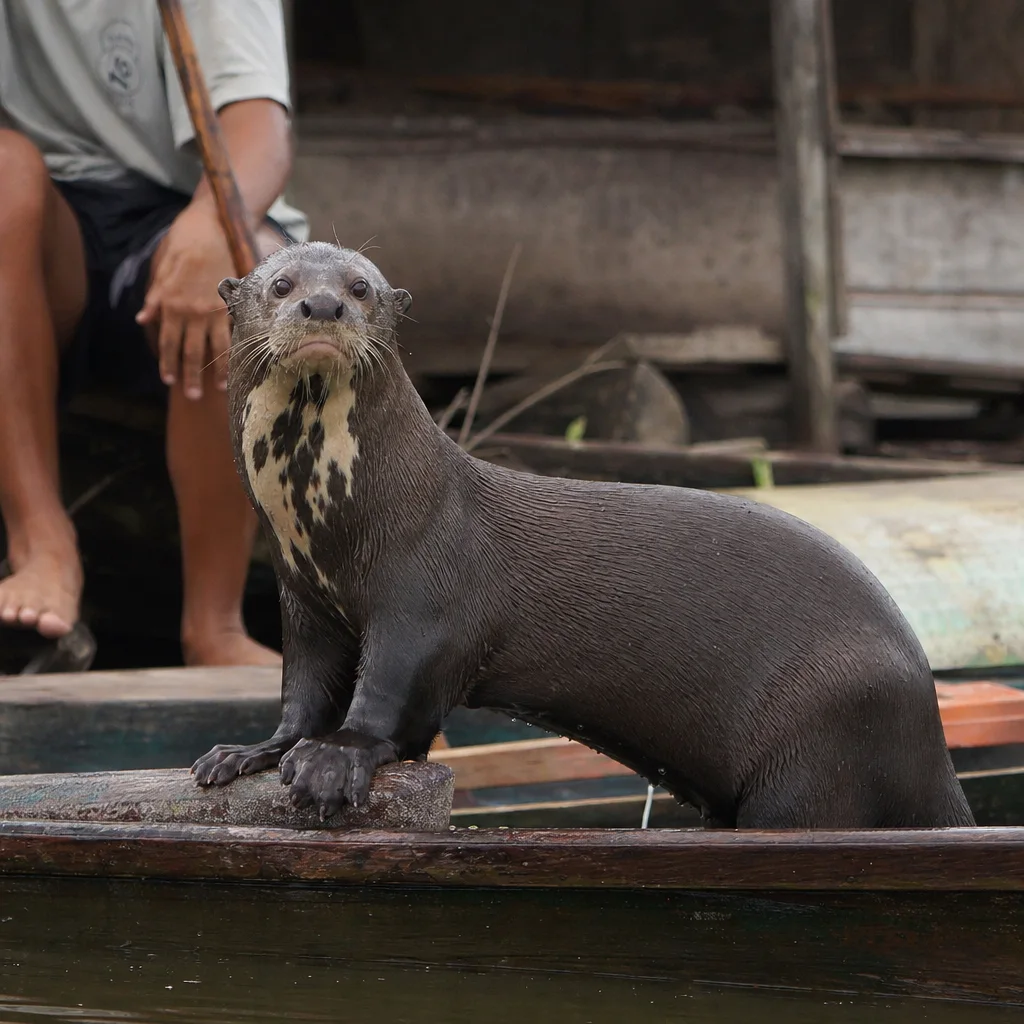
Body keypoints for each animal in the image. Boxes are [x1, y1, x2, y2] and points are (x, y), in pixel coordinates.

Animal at [192, 241, 975, 829]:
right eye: (281, 283)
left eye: (361, 288)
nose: (322, 306)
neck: (333, 524)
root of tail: (932, 741)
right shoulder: (305, 601)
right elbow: (305, 690)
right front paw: (253, 751)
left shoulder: (425, 601)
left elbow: (392, 696)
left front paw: (335, 759)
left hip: (830, 735)